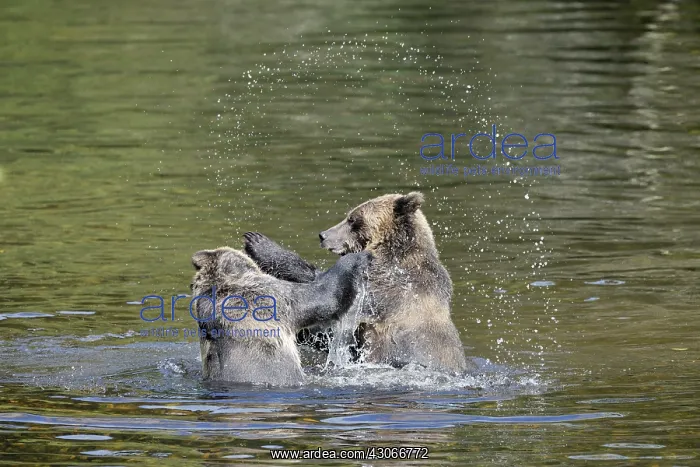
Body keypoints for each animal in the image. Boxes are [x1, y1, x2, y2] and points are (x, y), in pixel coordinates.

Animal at [243, 192, 472, 375]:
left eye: (353, 219)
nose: (323, 235)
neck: (391, 251)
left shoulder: (388, 286)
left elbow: (330, 292)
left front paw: (259, 243)